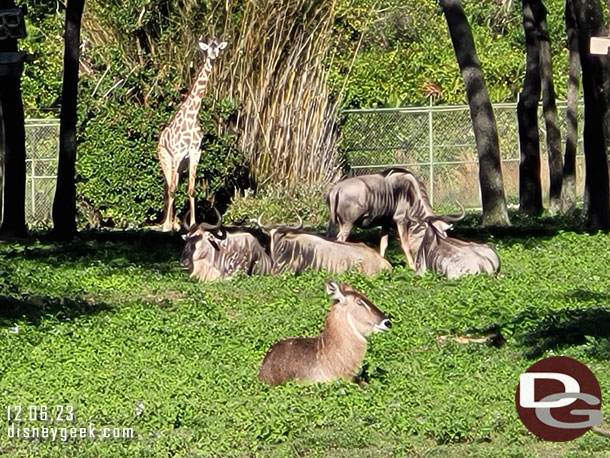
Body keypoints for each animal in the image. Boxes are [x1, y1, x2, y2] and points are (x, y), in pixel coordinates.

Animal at [156, 37, 227, 231]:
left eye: (218, 48)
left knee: (172, 185)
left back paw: (174, 222)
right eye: (207, 49)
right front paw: (167, 226)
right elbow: (172, 189)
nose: (213, 56)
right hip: (166, 158)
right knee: (168, 187)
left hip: (180, 165)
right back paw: (167, 223)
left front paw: (193, 223)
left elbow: (191, 189)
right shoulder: (177, 153)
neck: (193, 114)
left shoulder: (195, 152)